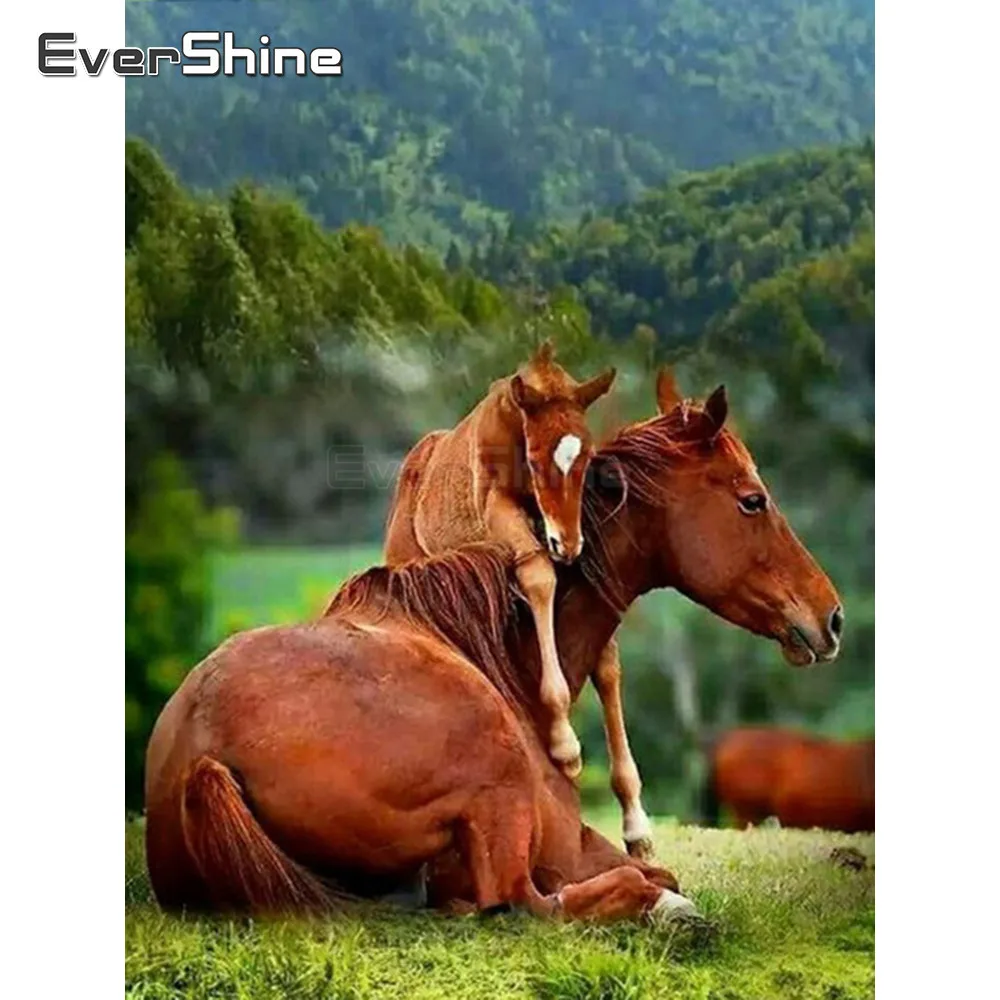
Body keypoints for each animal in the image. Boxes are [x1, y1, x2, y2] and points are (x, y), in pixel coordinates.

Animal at [384, 340, 616, 780]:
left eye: (587, 458)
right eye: (536, 459)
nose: (567, 544)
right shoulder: (497, 508)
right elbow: (539, 575)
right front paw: (565, 745)